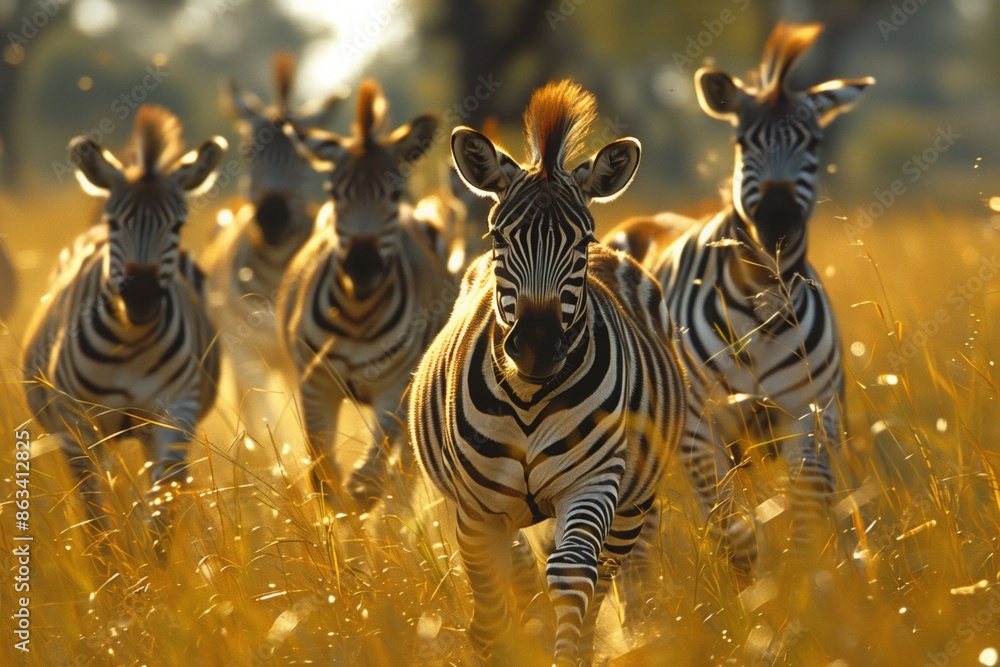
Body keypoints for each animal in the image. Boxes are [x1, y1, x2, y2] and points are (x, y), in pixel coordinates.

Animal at [22, 106, 225, 547]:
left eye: (178, 225)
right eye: (117, 224)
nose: (142, 300)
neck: (131, 343)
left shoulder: (175, 415)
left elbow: (160, 522)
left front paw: (156, 565)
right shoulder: (77, 426)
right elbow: (98, 528)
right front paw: (114, 566)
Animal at [278, 79, 457, 508]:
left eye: (394, 193)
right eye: (334, 192)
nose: (362, 267)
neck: (357, 314)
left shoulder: (394, 390)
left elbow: (368, 482)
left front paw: (365, 522)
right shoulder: (315, 384)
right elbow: (323, 477)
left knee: (404, 472)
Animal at [409, 80, 686, 666]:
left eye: (580, 241)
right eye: (498, 237)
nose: (536, 348)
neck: (529, 398)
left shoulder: (593, 480)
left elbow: (573, 575)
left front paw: (566, 650)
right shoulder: (475, 510)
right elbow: (492, 603)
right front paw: (500, 645)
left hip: (633, 502)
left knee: (605, 574)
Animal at [606, 22, 873, 570]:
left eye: (814, 142)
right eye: (743, 142)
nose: (775, 222)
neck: (764, 300)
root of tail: (642, 221)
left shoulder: (810, 418)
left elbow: (804, 528)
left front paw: (799, 589)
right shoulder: (700, 430)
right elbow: (736, 535)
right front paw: (754, 591)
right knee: (635, 547)